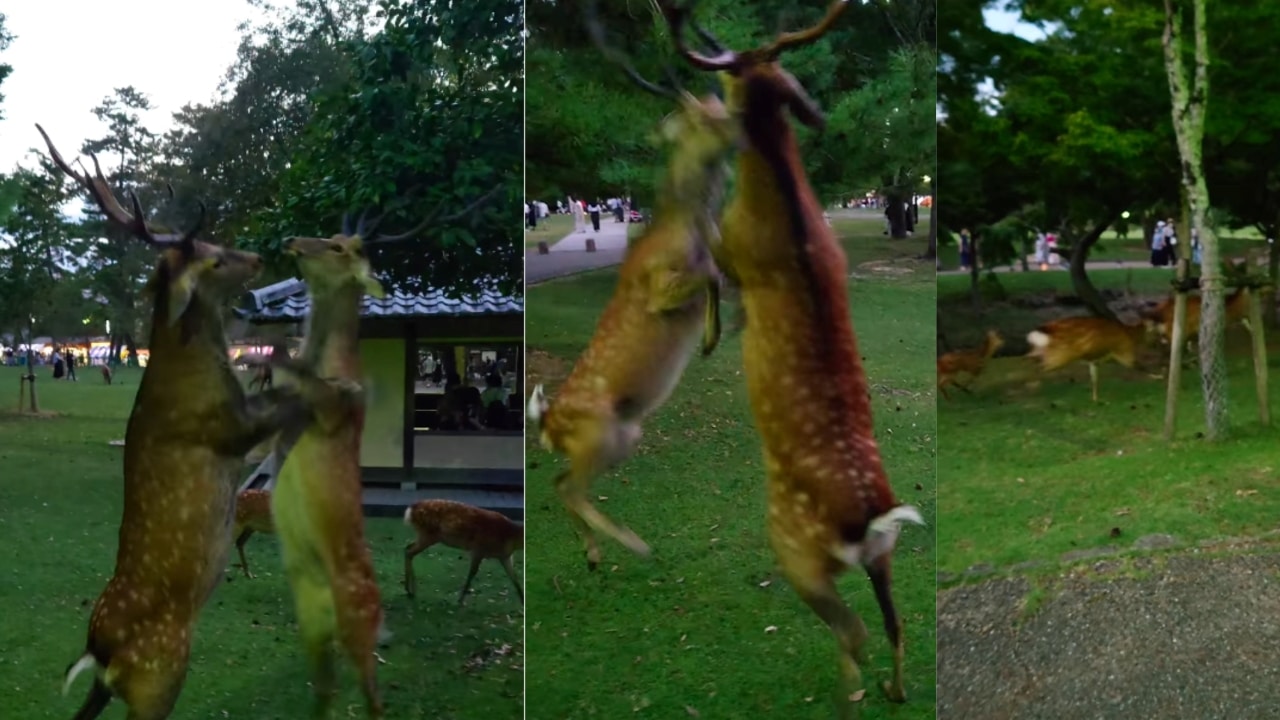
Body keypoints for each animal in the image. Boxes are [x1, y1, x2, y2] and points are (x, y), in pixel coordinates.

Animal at [37, 124, 322, 717]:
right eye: (211, 259)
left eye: (217, 245)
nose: (255, 256)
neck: (196, 378)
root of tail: (100, 652)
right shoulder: (225, 429)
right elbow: (289, 401)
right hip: (160, 673)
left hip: (117, 685)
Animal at [522, 4, 742, 566]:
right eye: (698, 117)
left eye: (716, 100)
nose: (740, 122)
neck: (688, 230)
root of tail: (547, 423)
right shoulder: (657, 285)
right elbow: (710, 275)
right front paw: (709, 338)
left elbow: (722, 277)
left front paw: (714, 336)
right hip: (601, 435)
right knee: (564, 485)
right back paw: (626, 546)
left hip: (625, 434)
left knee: (562, 483)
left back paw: (596, 548)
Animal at [660, 2, 931, 712]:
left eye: (734, 73)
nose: (712, 62)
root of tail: (868, 523)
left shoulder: (732, 253)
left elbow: (705, 260)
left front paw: (708, 336)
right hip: (887, 557)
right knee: (895, 625)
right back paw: (892, 690)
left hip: (795, 547)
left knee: (855, 630)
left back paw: (853, 692)